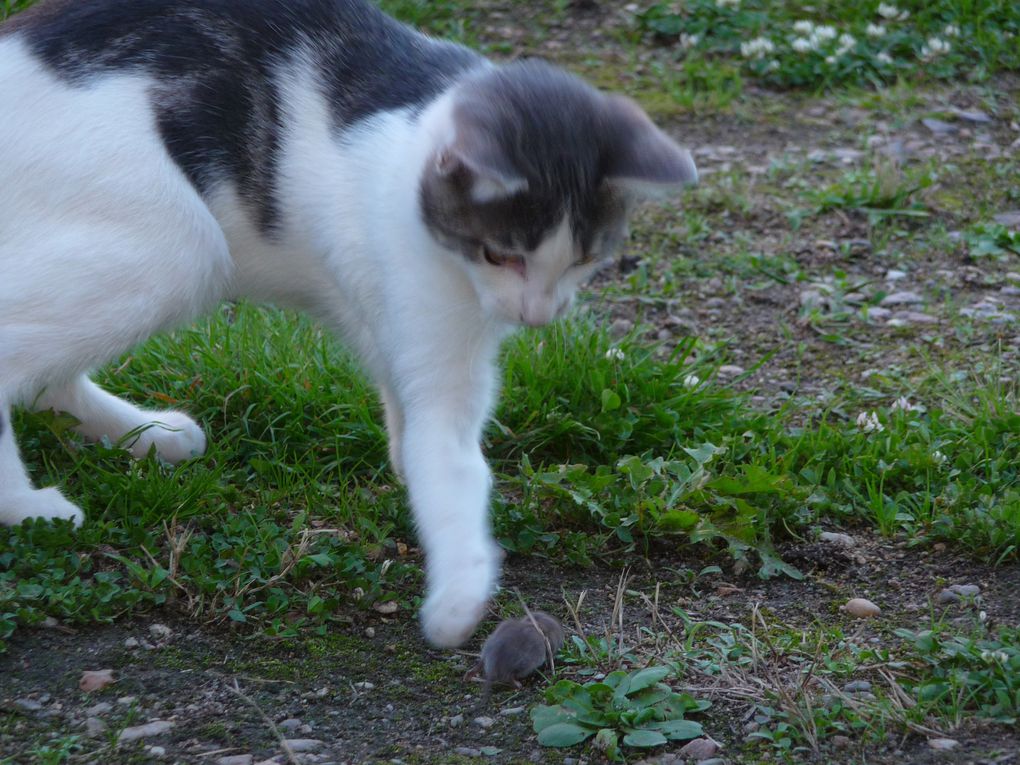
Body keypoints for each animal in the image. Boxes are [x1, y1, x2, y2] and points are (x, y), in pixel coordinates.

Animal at [0, 0, 697, 648]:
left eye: (584, 258)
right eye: (502, 254)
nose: (537, 315)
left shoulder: (394, 321)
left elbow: (409, 418)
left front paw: (408, 470)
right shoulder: (437, 346)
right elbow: (453, 465)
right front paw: (459, 595)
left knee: (45, 375)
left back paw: (148, 434)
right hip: (176, 247)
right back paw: (25, 505)